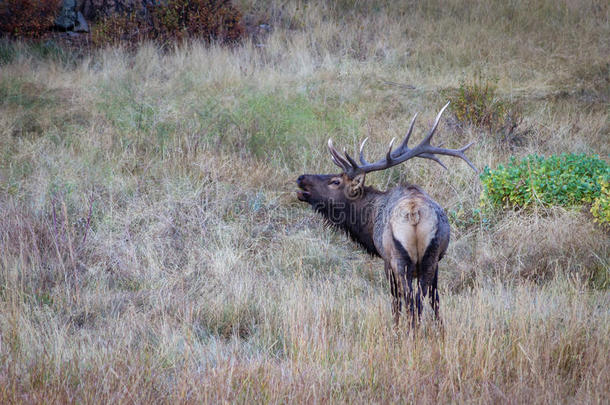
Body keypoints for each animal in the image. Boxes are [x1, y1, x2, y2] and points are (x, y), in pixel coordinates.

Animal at [294, 102, 476, 326]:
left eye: (335, 181)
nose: (301, 178)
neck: (370, 220)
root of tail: (414, 215)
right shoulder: (438, 263)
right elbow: (436, 302)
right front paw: (440, 330)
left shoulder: (386, 260)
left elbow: (395, 302)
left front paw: (395, 327)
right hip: (430, 259)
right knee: (423, 299)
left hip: (399, 260)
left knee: (410, 301)